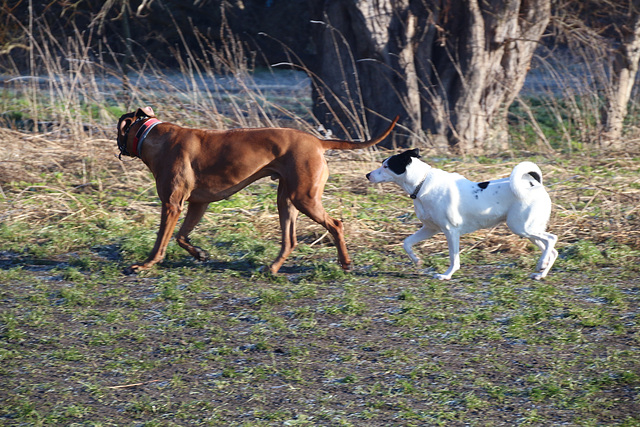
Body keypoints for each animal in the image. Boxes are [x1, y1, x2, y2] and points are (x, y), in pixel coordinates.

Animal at [115, 107, 396, 274]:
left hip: (304, 198)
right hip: (286, 200)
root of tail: (317, 141)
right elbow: (181, 236)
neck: (151, 136)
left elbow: (161, 240)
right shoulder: (198, 204)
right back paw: (272, 267)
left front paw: (146, 264)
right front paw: (199, 253)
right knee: (290, 239)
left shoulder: (172, 205)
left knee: (336, 224)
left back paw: (345, 263)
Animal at [368, 150, 556, 280]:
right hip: (528, 230)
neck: (422, 183)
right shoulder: (430, 229)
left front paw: (446, 275)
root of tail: (534, 184)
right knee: (552, 250)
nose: (367, 175)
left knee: (551, 239)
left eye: (386, 166)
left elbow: (454, 258)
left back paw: (541, 264)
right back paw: (541, 272)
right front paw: (417, 260)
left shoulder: (451, 231)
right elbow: (406, 243)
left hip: (521, 227)